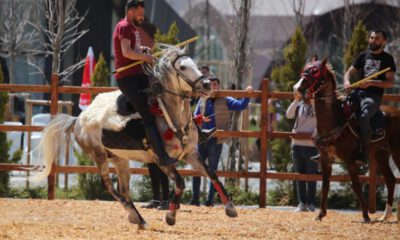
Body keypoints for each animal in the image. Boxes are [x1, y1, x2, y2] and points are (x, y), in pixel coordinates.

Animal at [34, 47, 238, 229]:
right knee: (109, 187)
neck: (171, 117)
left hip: (120, 160)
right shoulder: (162, 161)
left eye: (195, 64)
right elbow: (180, 183)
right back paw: (136, 216)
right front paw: (170, 215)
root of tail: (78, 118)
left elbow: (211, 173)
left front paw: (230, 207)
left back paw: (138, 218)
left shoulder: (191, 154)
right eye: (182, 67)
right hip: (99, 156)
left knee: (124, 190)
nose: (207, 85)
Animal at [294, 58, 400, 223]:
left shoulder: (350, 160)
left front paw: (365, 215)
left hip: (396, 151)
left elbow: (356, 186)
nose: (297, 88)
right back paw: (385, 216)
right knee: (390, 180)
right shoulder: (325, 159)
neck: (334, 121)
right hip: (381, 153)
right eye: (305, 69)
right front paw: (320, 214)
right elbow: (325, 186)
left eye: (315, 71)